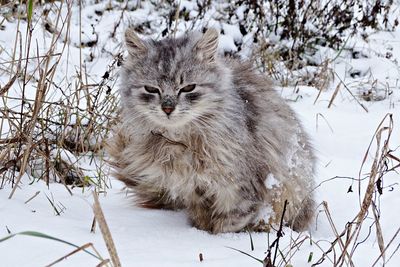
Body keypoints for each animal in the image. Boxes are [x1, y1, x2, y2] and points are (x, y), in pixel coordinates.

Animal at [105, 28, 316, 234]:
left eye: (188, 88)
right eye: (151, 89)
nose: (168, 108)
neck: (179, 141)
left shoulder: (239, 186)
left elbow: (230, 221)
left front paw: (215, 238)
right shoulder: (194, 188)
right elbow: (205, 217)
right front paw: (201, 231)